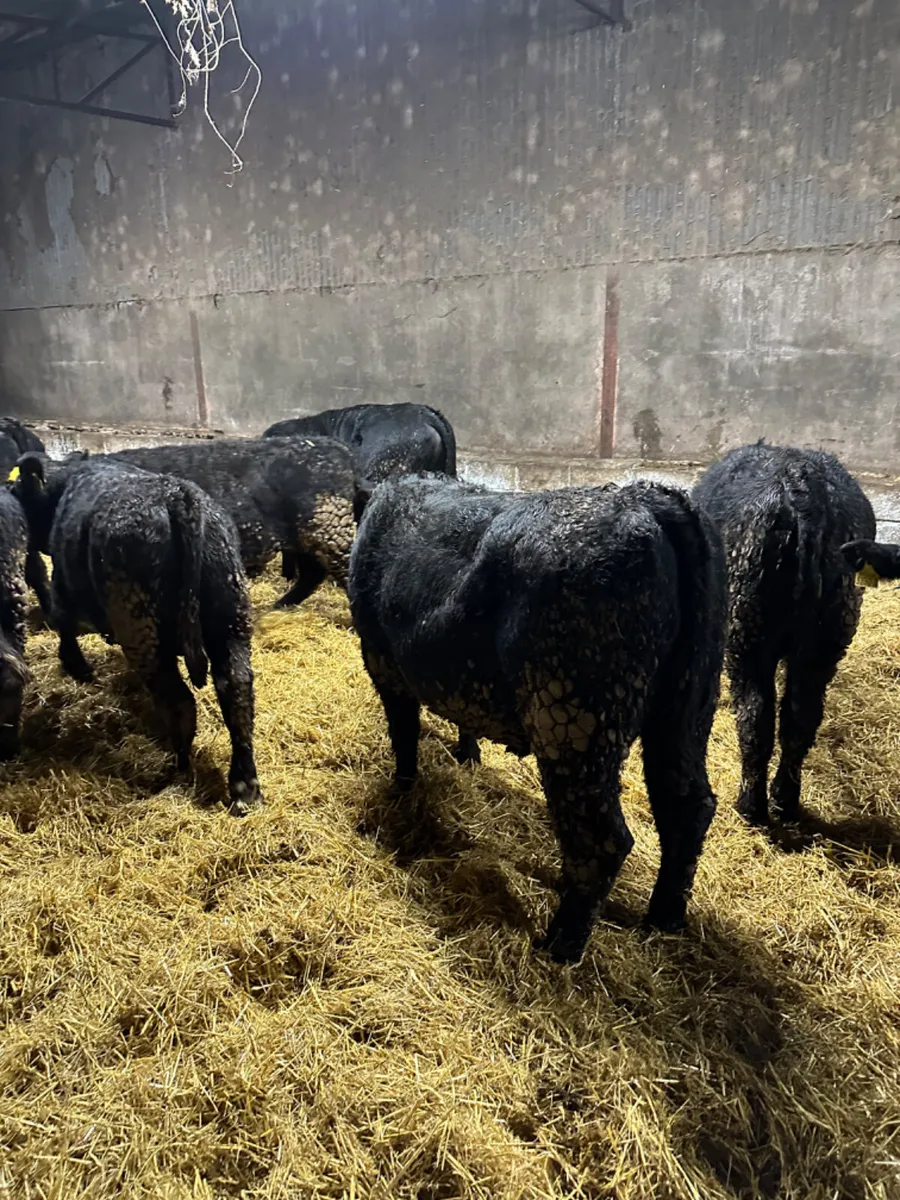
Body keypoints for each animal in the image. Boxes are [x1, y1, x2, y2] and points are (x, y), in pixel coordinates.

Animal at [11, 453, 262, 814]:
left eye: (19, 490)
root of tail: (178, 495)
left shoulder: (63, 587)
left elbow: (63, 623)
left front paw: (78, 668)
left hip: (143, 631)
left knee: (180, 701)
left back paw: (178, 767)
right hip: (230, 618)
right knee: (236, 689)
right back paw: (244, 786)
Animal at [348, 474, 727, 964]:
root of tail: (647, 497)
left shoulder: (381, 661)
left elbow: (404, 733)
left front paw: (402, 786)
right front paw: (467, 756)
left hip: (574, 717)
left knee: (602, 840)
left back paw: (559, 946)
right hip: (688, 707)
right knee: (687, 807)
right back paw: (663, 920)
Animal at [692, 442, 875, 827]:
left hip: (747, 631)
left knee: (755, 716)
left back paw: (751, 805)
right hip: (827, 635)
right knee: (800, 716)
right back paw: (784, 801)